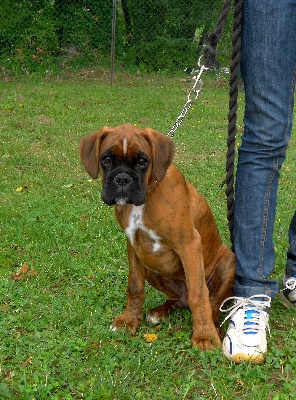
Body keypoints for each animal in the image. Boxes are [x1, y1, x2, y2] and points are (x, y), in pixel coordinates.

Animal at [79, 123, 236, 352]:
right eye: (106, 159)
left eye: (142, 161)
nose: (122, 179)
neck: (148, 193)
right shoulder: (134, 246)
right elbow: (134, 287)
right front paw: (129, 320)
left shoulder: (189, 244)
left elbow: (199, 295)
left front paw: (204, 336)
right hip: (151, 266)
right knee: (178, 299)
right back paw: (160, 312)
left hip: (227, 263)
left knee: (210, 302)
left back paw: (214, 326)